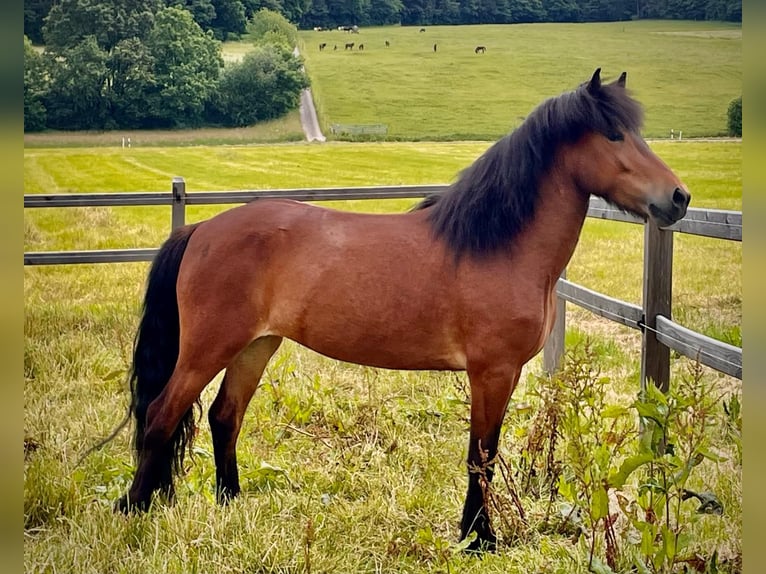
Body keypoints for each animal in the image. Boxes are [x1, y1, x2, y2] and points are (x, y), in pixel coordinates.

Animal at [115, 68, 690, 552]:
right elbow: (480, 455)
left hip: (256, 346)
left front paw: (476, 534)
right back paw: (134, 510)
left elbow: (484, 454)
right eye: (613, 135)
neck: (497, 245)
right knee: (162, 414)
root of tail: (201, 231)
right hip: (208, 349)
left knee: (224, 416)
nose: (679, 198)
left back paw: (230, 503)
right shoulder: (492, 371)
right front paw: (479, 539)